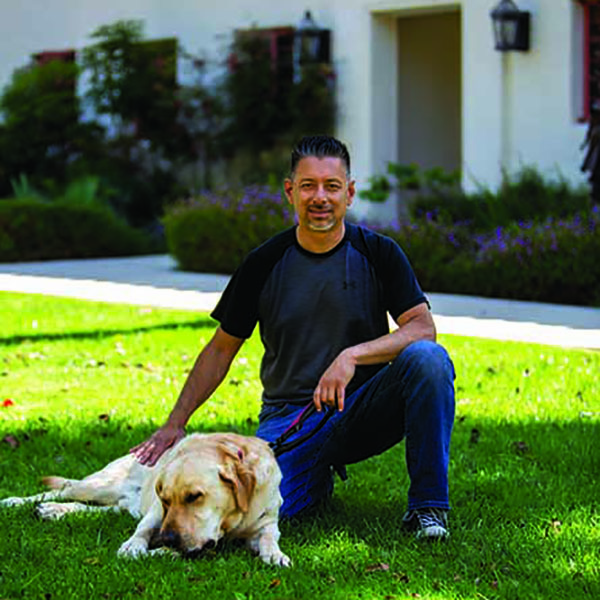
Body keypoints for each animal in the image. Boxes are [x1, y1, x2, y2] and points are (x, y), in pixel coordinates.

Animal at [0, 434, 290, 564]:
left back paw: (54, 511)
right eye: (166, 500)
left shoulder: (266, 523)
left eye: (195, 496)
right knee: (63, 488)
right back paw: (17, 502)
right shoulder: (156, 512)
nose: (167, 538)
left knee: (93, 508)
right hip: (99, 486)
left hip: (119, 505)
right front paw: (135, 546)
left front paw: (276, 555)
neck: (231, 523)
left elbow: (268, 538)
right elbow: (144, 529)